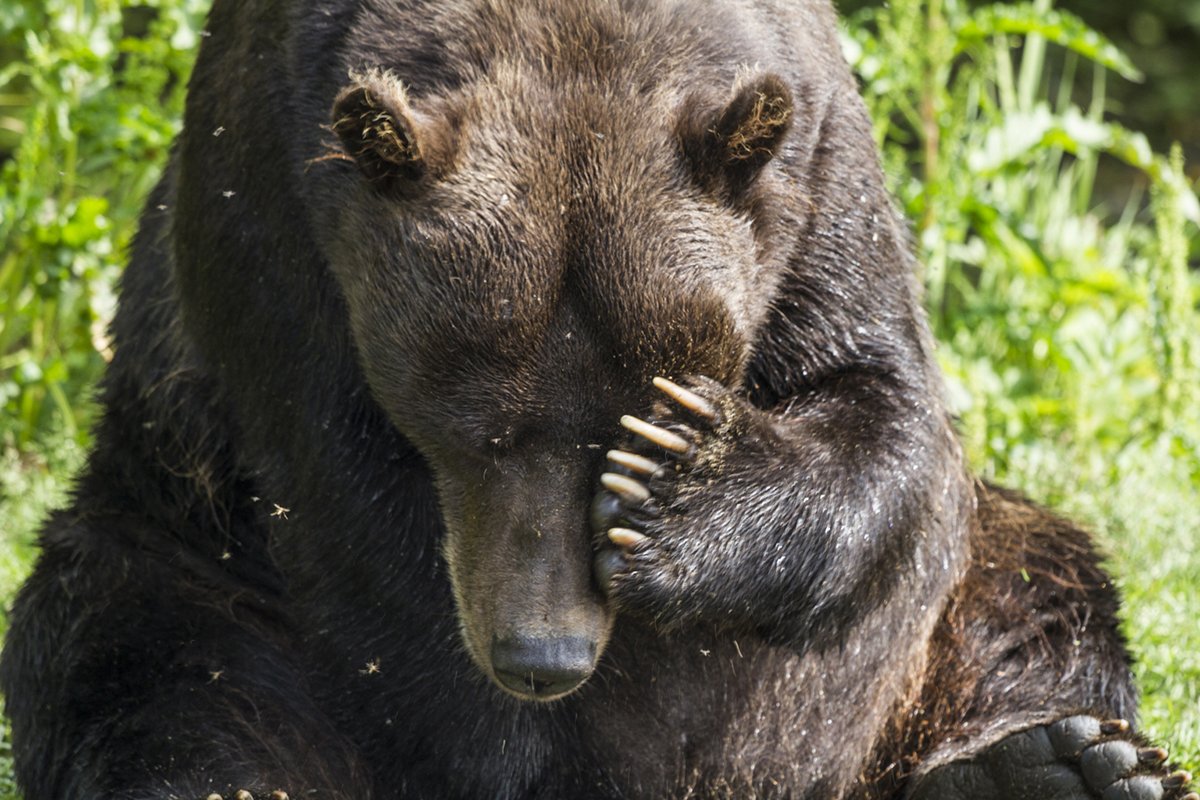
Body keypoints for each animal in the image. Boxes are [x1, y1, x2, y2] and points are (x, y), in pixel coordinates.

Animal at [0, 1, 1195, 800]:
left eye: (632, 413)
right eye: (472, 429)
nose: (544, 656)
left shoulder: (814, 178)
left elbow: (875, 401)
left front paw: (682, 494)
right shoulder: (268, 210)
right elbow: (347, 518)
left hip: (916, 648)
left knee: (1031, 589)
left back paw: (1068, 762)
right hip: (184, 551)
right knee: (148, 673)